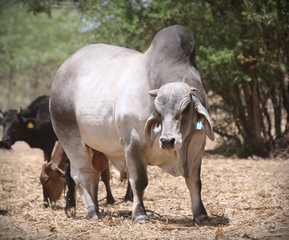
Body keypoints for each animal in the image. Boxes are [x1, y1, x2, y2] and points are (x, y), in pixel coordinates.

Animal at [50, 24, 214, 223]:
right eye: (157, 109)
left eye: (186, 108)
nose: (168, 141)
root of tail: (63, 69)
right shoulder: (133, 143)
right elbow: (139, 181)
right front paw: (140, 214)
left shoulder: (196, 148)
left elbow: (194, 181)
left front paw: (201, 214)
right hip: (70, 137)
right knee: (81, 174)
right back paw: (91, 213)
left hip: (95, 146)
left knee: (93, 175)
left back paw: (96, 208)